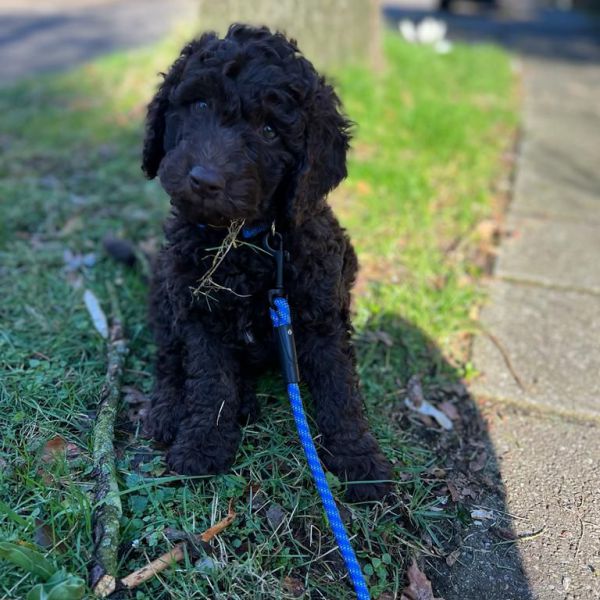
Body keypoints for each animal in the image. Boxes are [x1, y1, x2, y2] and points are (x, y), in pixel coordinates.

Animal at [142, 23, 394, 502]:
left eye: (270, 131)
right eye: (200, 105)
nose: (205, 180)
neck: (245, 243)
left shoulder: (319, 317)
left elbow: (340, 389)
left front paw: (360, 459)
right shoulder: (199, 313)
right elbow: (209, 381)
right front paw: (203, 445)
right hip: (166, 289)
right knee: (167, 359)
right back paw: (166, 411)